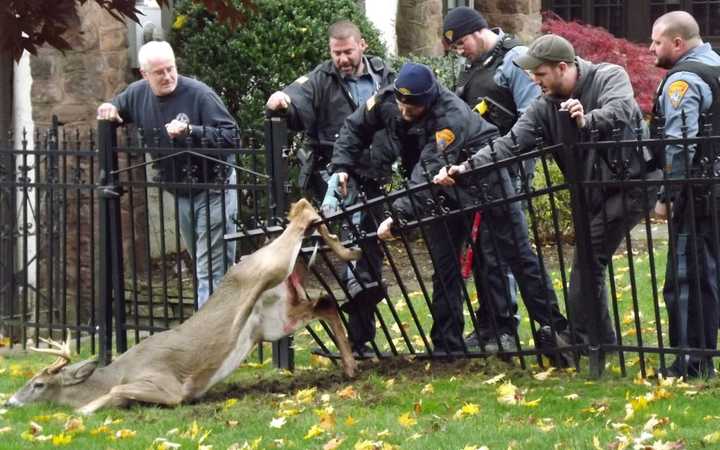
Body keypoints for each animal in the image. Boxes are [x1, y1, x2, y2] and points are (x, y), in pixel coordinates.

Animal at [4, 199, 362, 416]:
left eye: (38, 384)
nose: (9, 400)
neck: (114, 372)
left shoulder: (165, 384)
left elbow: (122, 392)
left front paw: (79, 412)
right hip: (274, 318)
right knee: (326, 303)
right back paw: (349, 366)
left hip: (270, 268)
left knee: (301, 215)